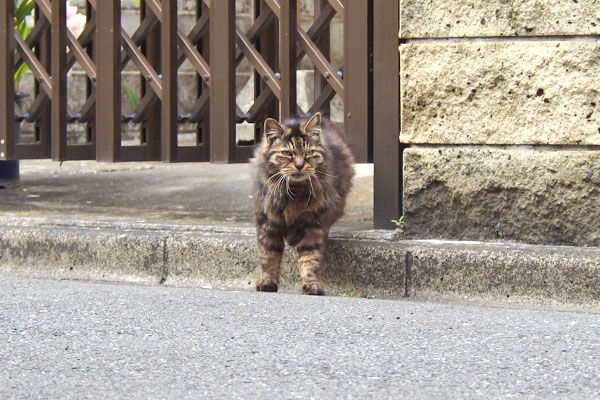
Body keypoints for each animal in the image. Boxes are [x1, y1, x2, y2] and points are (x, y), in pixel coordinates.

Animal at [251, 111, 354, 294]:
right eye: (287, 154)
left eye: (309, 153)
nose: (299, 165)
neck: (294, 192)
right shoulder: (267, 222)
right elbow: (269, 256)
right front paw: (267, 282)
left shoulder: (312, 224)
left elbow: (310, 258)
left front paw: (311, 285)